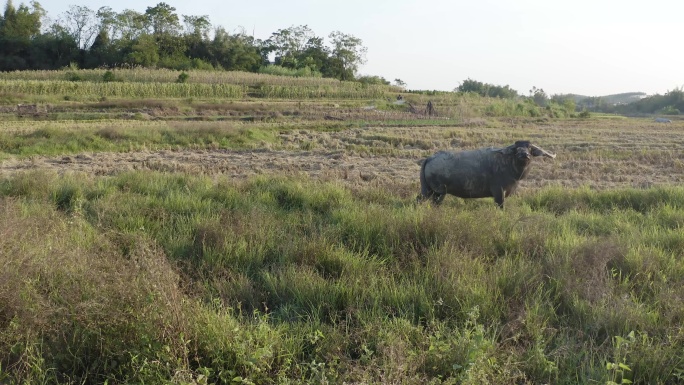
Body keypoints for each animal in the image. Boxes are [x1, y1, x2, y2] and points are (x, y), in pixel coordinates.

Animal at [416, 140, 556, 207]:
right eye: (516, 148)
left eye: (530, 148)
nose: (524, 155)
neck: (508, 165)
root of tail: (430, 158)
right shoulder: (499, 193)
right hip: (438, 192)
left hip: (429, 191)